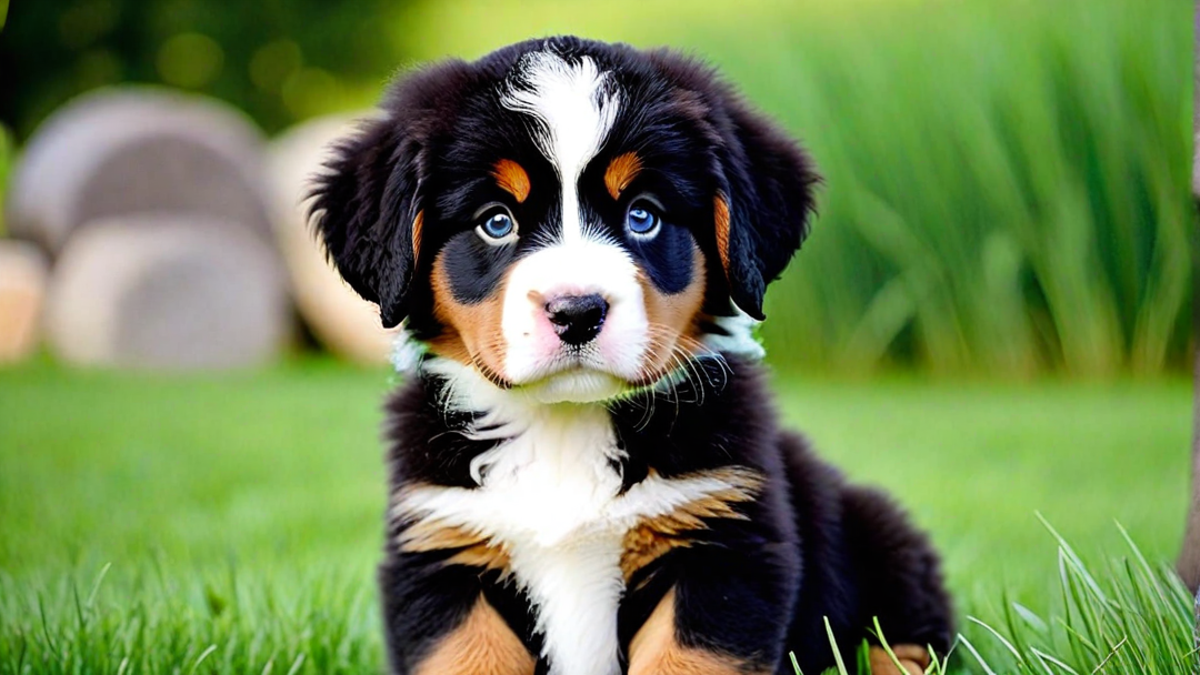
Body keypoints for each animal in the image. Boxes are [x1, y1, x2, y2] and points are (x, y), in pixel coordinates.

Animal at [312, 35, 955, 672]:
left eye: (642, 214)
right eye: (496, 221)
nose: (576, 311)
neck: (565, 429)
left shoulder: (722, 547)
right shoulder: (444, 553)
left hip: (883, 545)